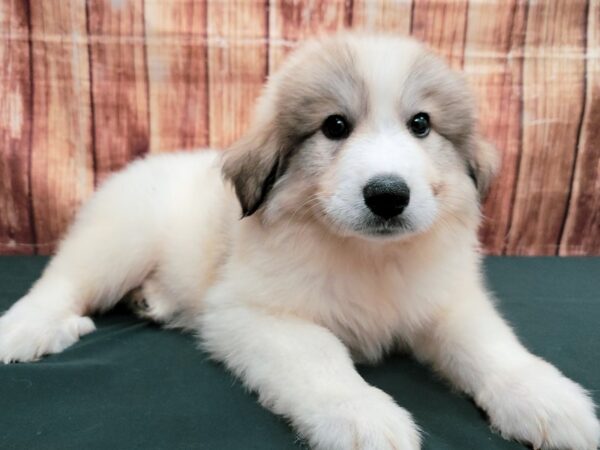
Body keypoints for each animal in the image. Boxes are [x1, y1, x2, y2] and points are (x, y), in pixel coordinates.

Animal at [1, 33, 600, 448]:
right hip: (118, 238)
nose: (388, 195)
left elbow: (491, 346)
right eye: (334, 126)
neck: (368, 256)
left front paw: (548, 401)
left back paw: (153, 301)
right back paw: (27, 332)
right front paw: (363, 416)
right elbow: (320, 356)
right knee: (62, 283)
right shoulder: (250, 314)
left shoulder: (446, 300)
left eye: (421, 125)